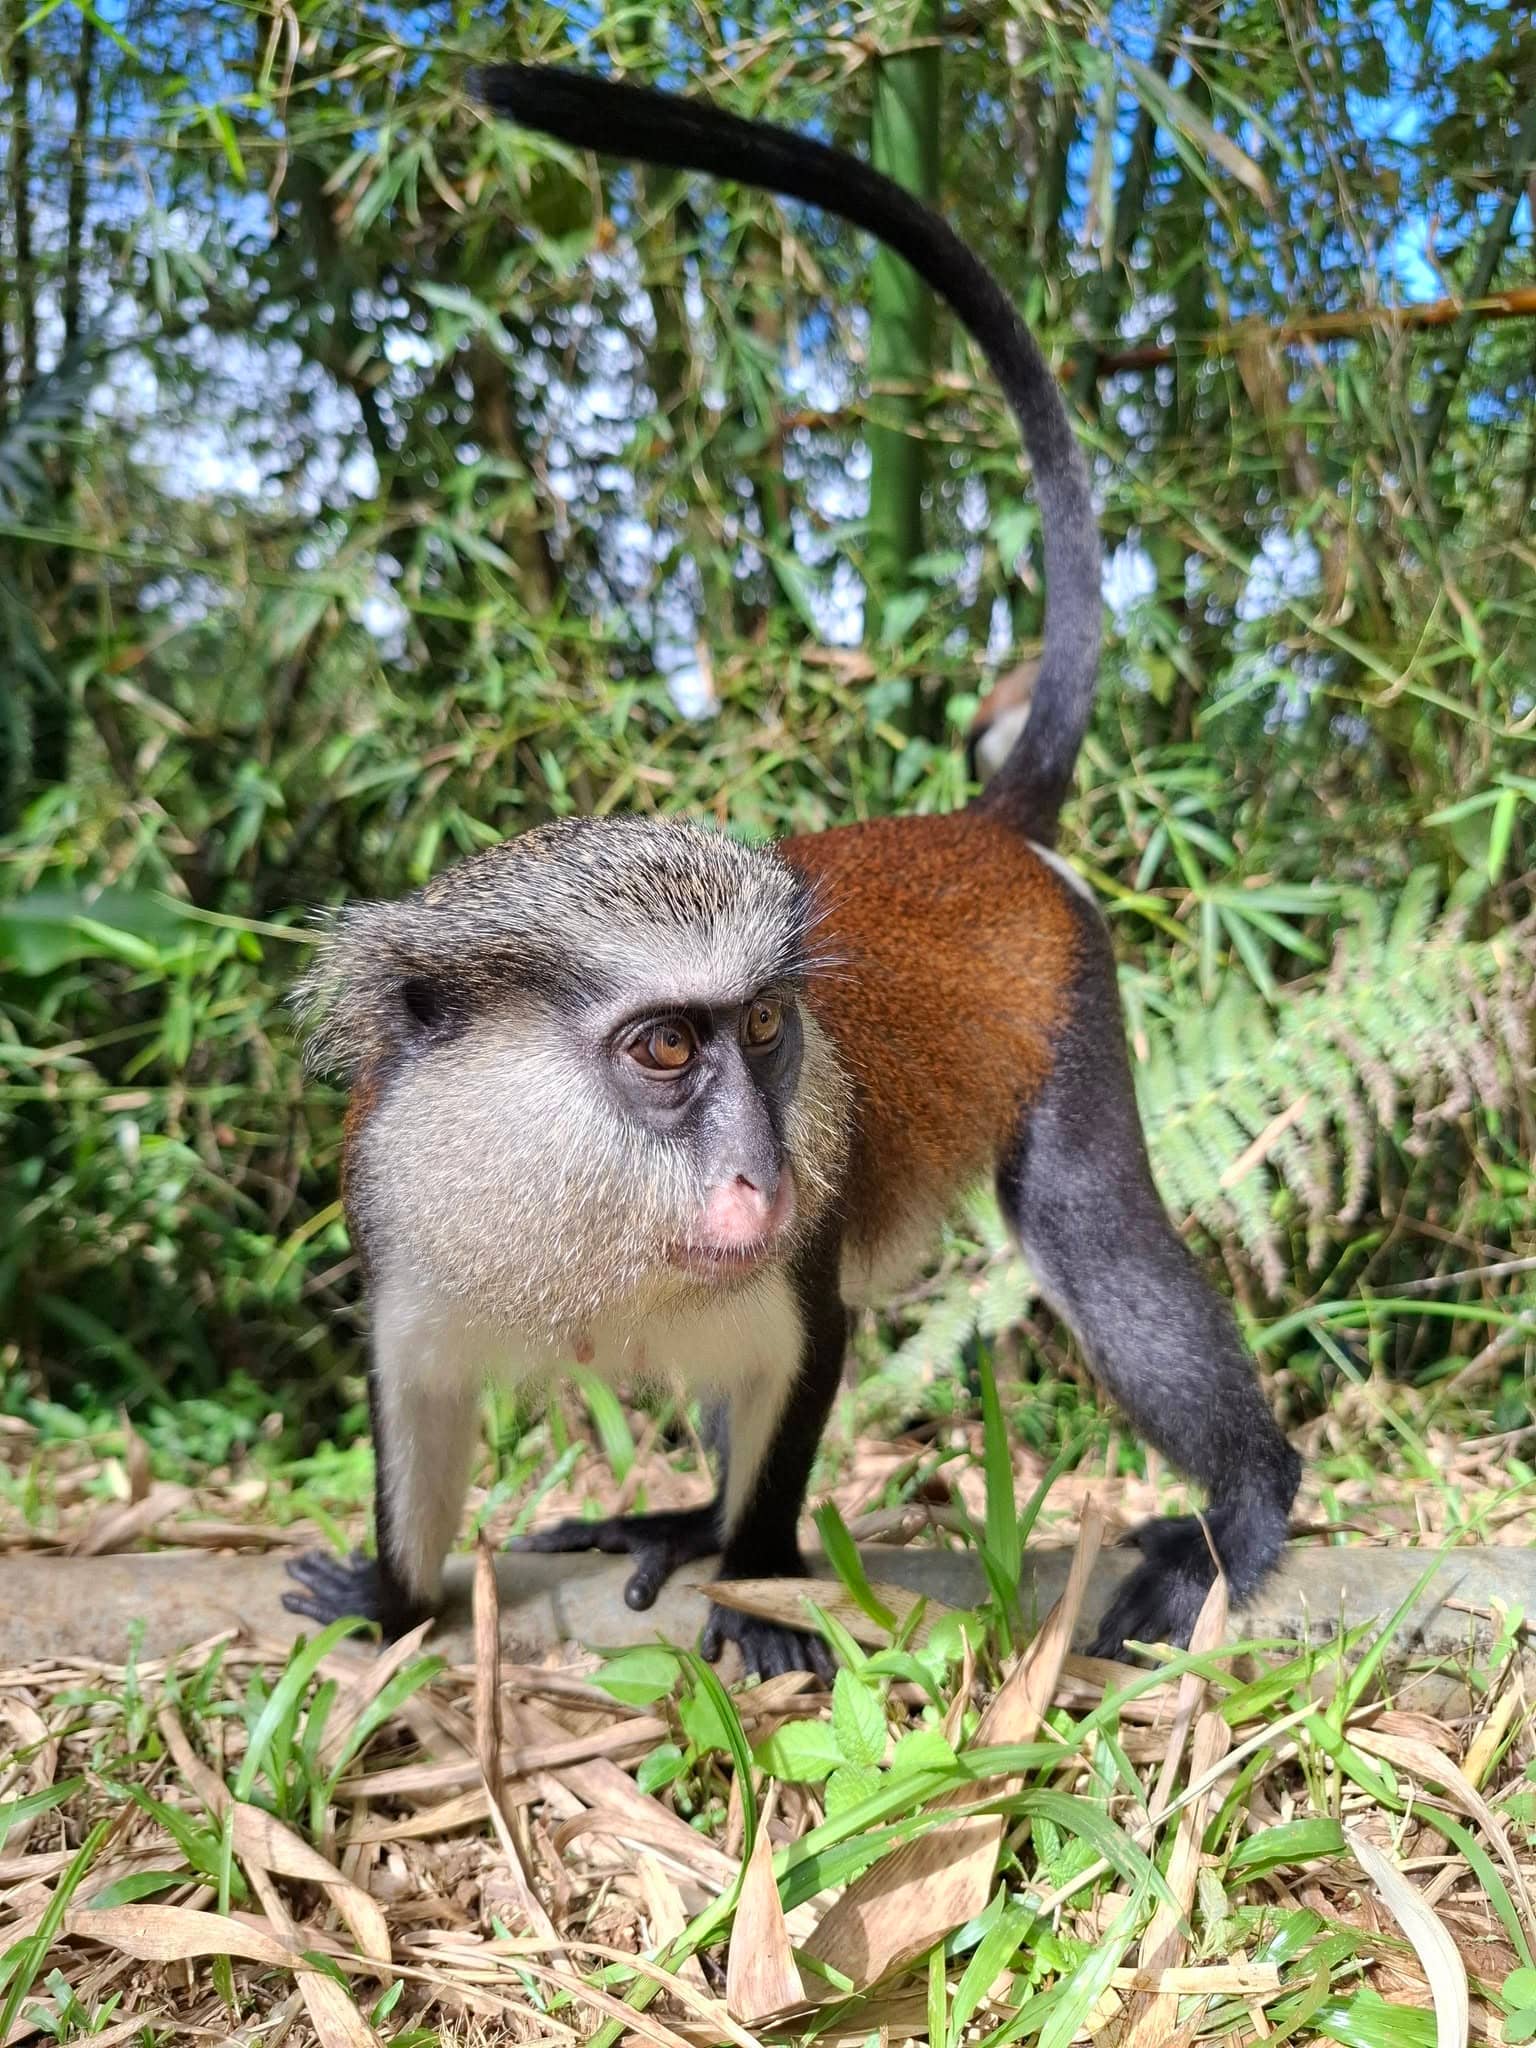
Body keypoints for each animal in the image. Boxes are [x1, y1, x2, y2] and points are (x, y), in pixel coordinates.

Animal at [284, 63, 1301, 1679]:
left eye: (766, 1029)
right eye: (663, 1047)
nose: (758, 1170)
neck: (588, 1215)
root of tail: (974, 827)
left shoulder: (791, 1276)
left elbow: (808, 1366)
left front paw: (756, 1588)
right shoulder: (400, 1227)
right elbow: (418, 1418)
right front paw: (388, 1601)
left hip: (1076, 1012)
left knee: (1088, 1224)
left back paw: (1241, 1515)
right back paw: (677, 1517)